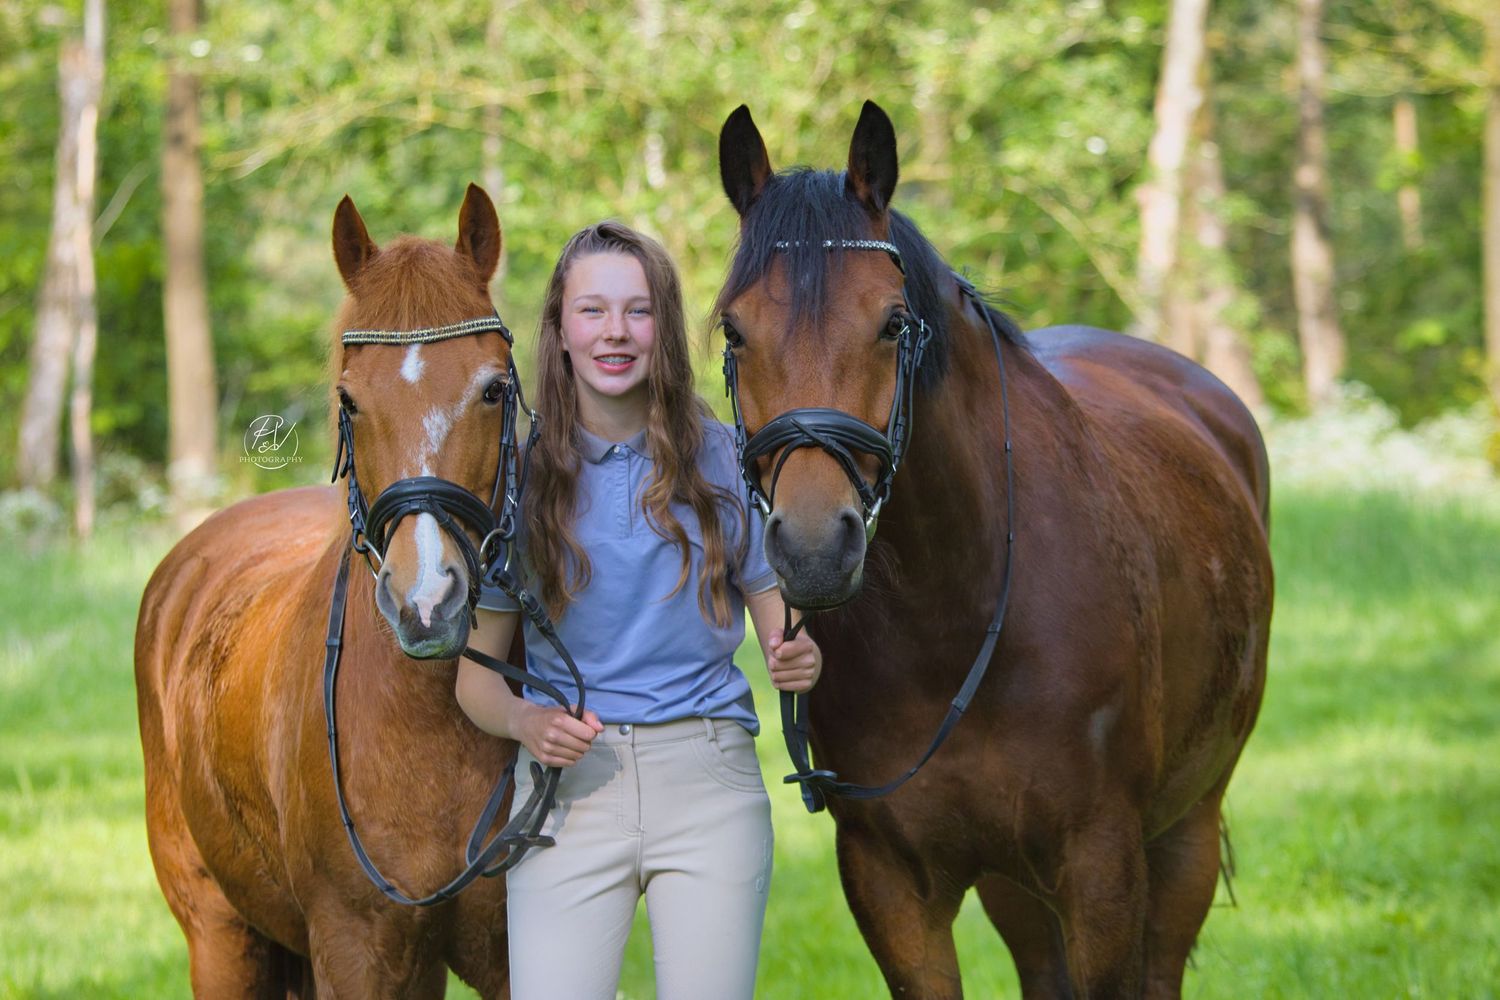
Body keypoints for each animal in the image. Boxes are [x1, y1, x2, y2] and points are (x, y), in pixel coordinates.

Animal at [135, 185, 522, 997]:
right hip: (221, 938)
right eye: (349, 398)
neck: (430, 724)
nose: (426, 603)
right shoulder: (354, 949)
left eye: (493, 389)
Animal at [714, 103, 1272, 999]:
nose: (812, 546)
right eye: (734, 329)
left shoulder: (1102, 868)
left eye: (892, 322)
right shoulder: (890, 882)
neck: (955, 617)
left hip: (1187, 828)